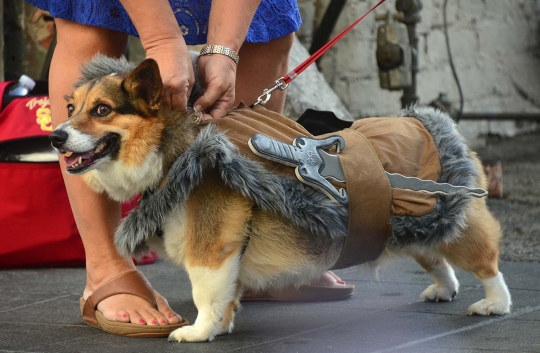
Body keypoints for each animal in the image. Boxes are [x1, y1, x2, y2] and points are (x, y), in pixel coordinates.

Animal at [49, 55, 510, 340]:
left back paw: (494, 304)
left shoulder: (210, 249)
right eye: (71, 108)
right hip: (411, 223)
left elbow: (205, 294)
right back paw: (443, 290)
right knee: (435, 256)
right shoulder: (228, 255)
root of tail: (433, 124)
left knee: (485, 263)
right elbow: (226, 295)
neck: (171, 149)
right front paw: (221, 327)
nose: (55, 137)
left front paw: (198, 332)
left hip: (455, 221)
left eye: (103, 110)